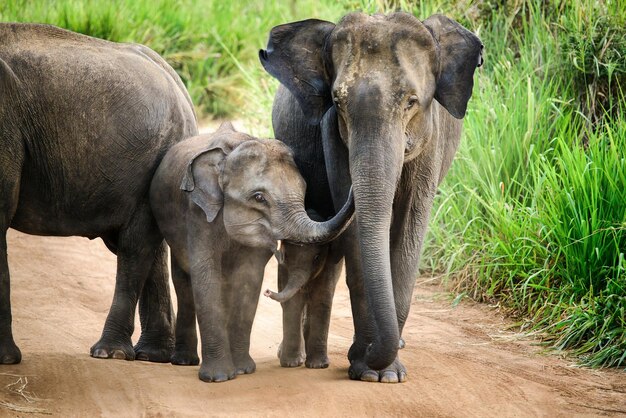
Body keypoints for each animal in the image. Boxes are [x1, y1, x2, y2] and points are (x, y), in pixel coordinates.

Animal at [0, 22, 196, 364]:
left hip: (154, 157)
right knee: (147, 246)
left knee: (134, 247)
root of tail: (173, 76)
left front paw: (6, 360)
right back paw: (151, 355)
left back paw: (110, 353)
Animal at [147, 121, 352, 382]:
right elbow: (206, 279)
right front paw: (218, 378)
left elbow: (249, 280)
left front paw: (243, 370)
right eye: (259, 197)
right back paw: (184, 361)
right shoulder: (197, 214)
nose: (269, 291)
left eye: (305, 190)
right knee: (184, 286)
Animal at [258, 11, 482, 384]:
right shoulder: (332, 134)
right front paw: (366, 370)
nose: (363, 355)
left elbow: (410, 226)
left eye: (411, 102)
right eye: (337, 103)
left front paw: (389, 374)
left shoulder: (431, 137)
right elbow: (354, 236)